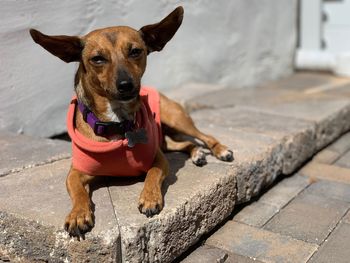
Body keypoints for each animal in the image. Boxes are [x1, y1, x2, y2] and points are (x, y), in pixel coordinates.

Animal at [29, 5, 232, 239]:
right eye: (97, 59)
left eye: (135, 51)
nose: (126, 85)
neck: (117, 122)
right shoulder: (75, 173)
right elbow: (79, 192)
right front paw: (78, 214)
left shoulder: (158, 158)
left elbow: (152, 174)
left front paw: (150, 197)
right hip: (166, 140)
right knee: (186, 144)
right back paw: (197, 154)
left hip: (177, 120)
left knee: (204, 137)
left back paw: (221, 150)